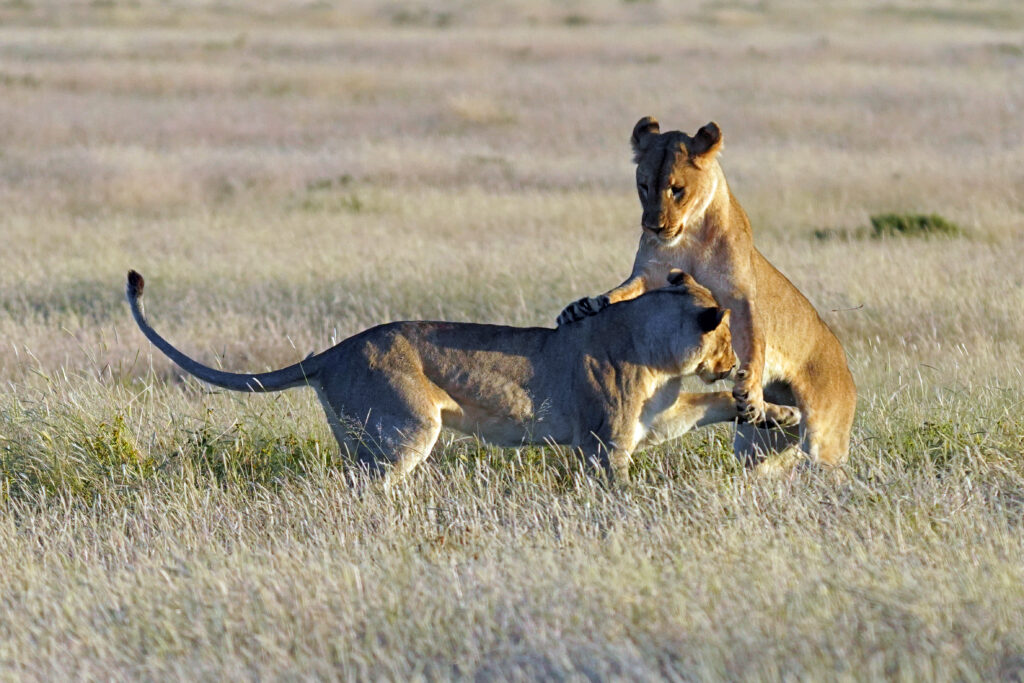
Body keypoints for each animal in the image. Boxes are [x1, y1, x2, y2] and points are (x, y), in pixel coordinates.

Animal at [126, 269, 799, 482]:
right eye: (727, 338)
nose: (736, 364)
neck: (657, 345)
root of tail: (334, 350)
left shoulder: (650, 421)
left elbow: (707, 406)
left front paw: (776, 412)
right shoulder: (607, 442)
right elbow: (615, 487)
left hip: (364, 435)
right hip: (406, 426)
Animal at [558, 117, 856, 474]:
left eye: (677, 189)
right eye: (643, 186)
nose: (653, 227)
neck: (690, 233)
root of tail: (846, 368)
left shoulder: (739, 294)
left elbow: (753, 340)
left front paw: (750, 391)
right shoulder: (649, 275)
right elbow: (620, 293)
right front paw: (582, 307)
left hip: (824, 443)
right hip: (755, 445)